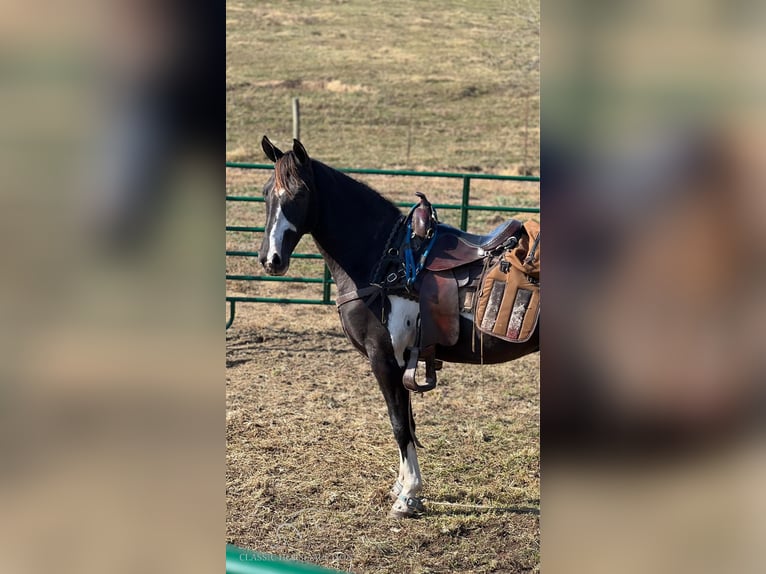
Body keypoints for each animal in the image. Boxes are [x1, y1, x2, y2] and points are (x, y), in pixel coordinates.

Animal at [258, 137, 540, 520]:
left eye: (299, 194)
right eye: (265, 192)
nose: (270, 259)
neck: (384, 261)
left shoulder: (383, 358)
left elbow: (398, 423)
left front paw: (407, 497)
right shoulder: (404, 360)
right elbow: (408, 420)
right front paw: (404, 487)